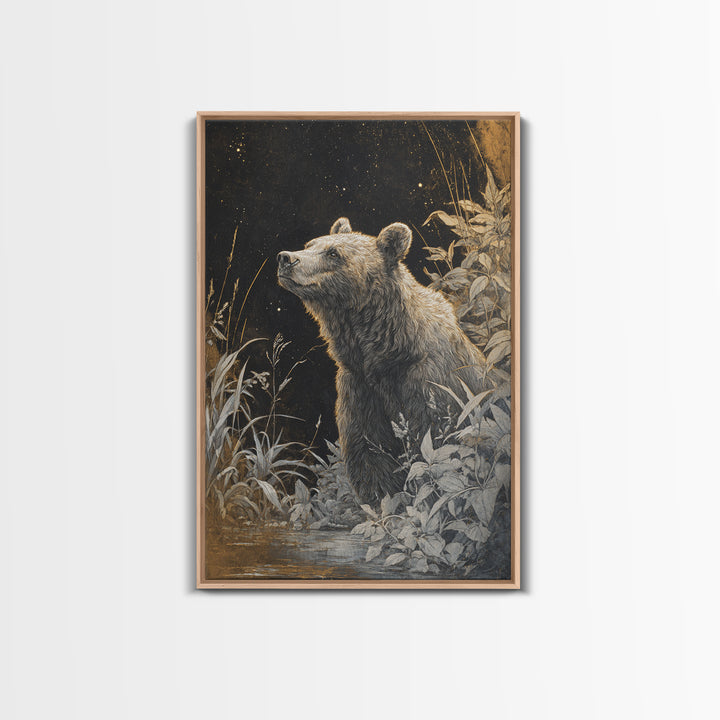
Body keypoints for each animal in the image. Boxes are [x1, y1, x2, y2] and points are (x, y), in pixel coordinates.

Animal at [277, 217, 486, 503]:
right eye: (310, 244)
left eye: (333, 253)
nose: (286, 258)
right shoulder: (359, 386)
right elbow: (370, 454)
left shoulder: (431, 380)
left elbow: (436, 442)